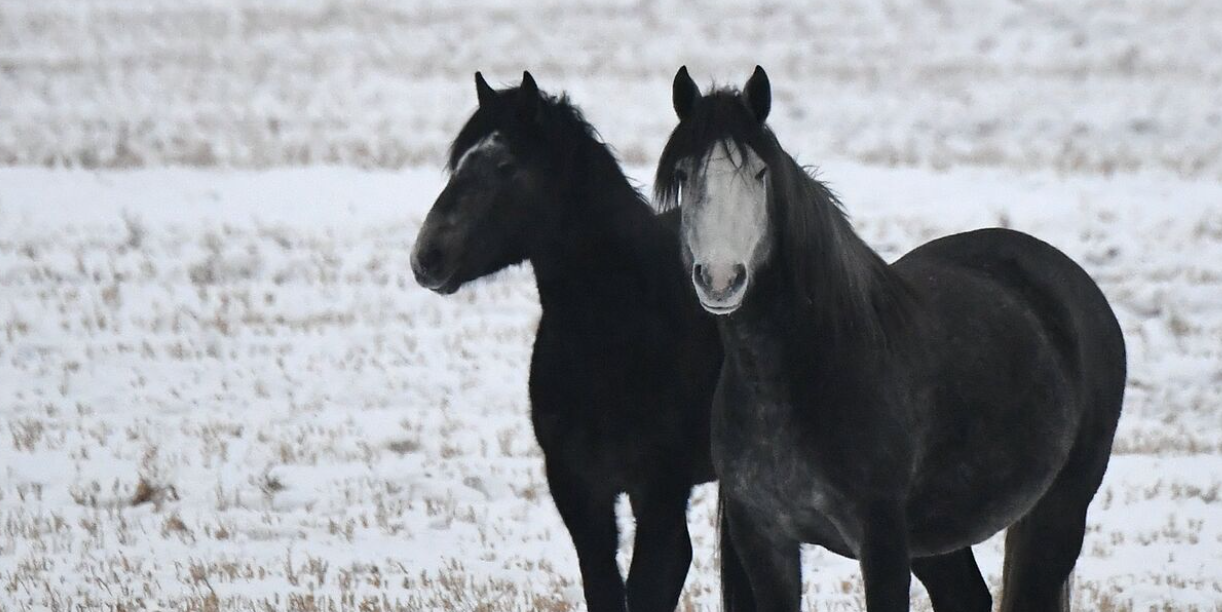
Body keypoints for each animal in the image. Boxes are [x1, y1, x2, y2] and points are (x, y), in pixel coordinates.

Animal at [654, 64, 1119, 608]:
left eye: (759, 173)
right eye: (684, 176)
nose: (721, 279)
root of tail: (1076, 285)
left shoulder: (881, 542)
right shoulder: (765, 540)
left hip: (1058, 513)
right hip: (940, 534)